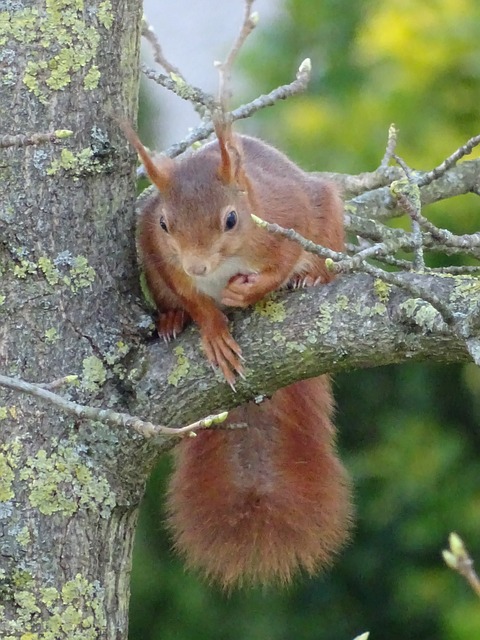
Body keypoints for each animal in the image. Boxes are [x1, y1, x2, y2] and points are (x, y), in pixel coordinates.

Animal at [122, 119, 350, 584]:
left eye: (230, 219)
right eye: (165, 224)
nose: (197, 266)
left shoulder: (287, 217)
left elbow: (282, 260)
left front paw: (254, 289)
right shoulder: (160, 252)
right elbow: (195, 300)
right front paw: (211, 329)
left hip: (327, 215)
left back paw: (309, 280)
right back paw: (172, 321)